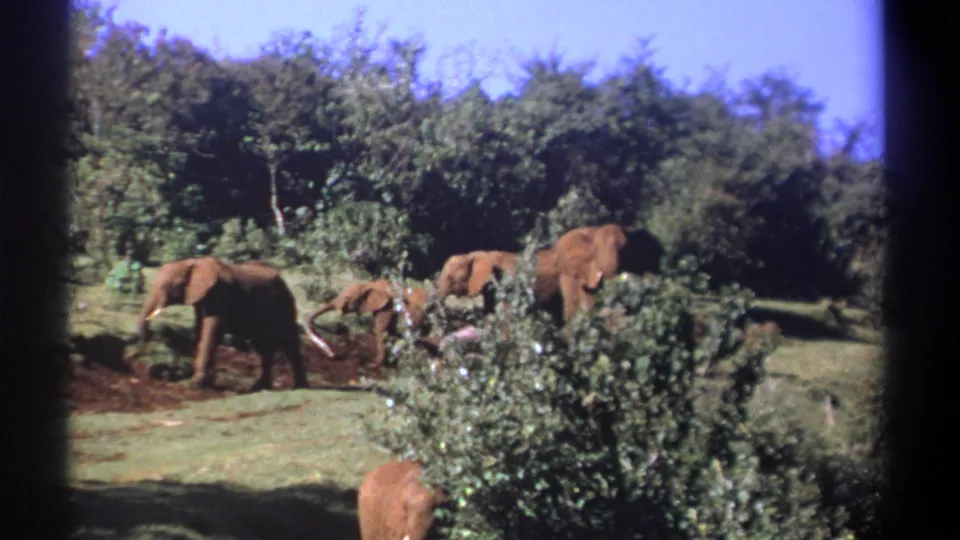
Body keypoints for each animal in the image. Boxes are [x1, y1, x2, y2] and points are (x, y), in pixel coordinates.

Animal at [128, 257, 335, 391]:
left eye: (167, 287)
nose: (134, 358)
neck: (191, 262)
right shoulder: (201, 297)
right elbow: (201, 329)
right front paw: (208, 382)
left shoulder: (220, 293)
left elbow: (212, 329)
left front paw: (194, 385)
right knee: (263, 346)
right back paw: (260, 387)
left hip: (284, 301)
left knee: (288, 340)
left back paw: (300, 387)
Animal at [304, 280, 433, 367]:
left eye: (348, 297)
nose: (333, 355)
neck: (369, 285)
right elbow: (389, 332)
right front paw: (388, 363)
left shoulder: (387, 308)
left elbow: (380, 330)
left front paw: (372, 365)